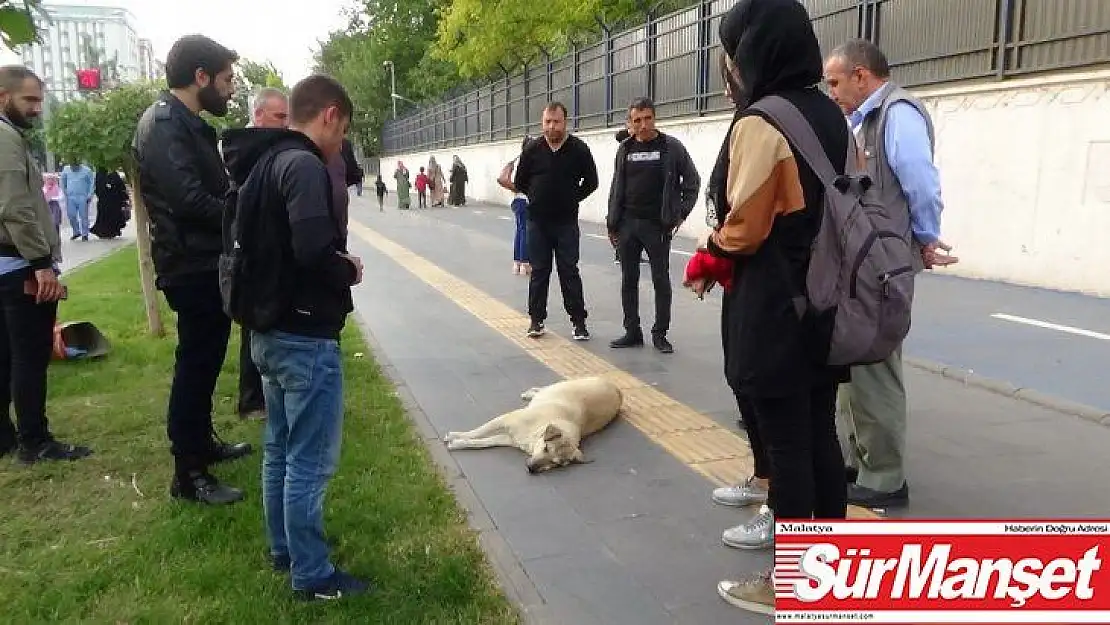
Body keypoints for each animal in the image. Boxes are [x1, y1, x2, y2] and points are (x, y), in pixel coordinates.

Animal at [441, 377, 621, 475]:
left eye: (556, 464)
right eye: (546, 448)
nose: (531, 469)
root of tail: (617, 389)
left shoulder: (509, 439)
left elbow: (482, 443)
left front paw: (459, 443)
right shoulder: (504, 420)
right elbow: (477, 432)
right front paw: (456, 435)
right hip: (561, 385)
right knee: (544, 388)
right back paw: (530, 393)